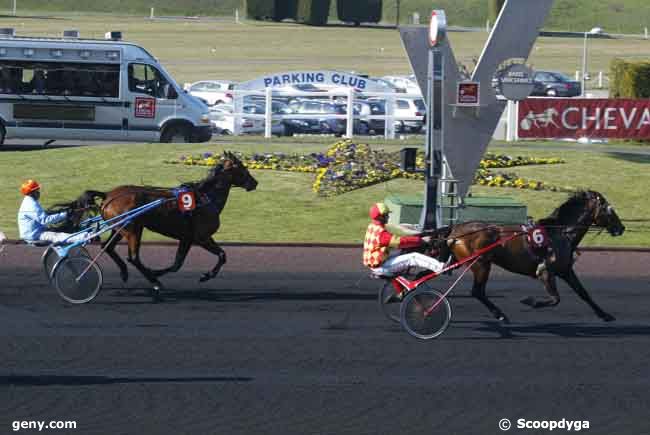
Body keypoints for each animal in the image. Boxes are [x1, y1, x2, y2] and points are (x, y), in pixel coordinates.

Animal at [67, 152, 256, 302]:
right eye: (241, 167)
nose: (254, 183)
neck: (206, 198)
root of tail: (108, 195)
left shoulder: (186, 238)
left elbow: (178, 264)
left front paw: (157, 272)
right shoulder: (201, 237)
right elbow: (221, 255)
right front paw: (205, 276)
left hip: (120, 228)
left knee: (108, 247)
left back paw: (125, 273)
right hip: (133, 228)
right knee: (133, 257)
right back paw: (154, 281)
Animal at [446, 191, 624, 324]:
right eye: (609, 209)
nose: (621, 228)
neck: (560, 233)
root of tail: (456, 230)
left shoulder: (565, 270)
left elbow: (583, 293)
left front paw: (605, 315)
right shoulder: (545, 271)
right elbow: (555, 299)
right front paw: (531, 301)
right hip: (481, 264)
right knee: (477, 291)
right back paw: (500, 314)